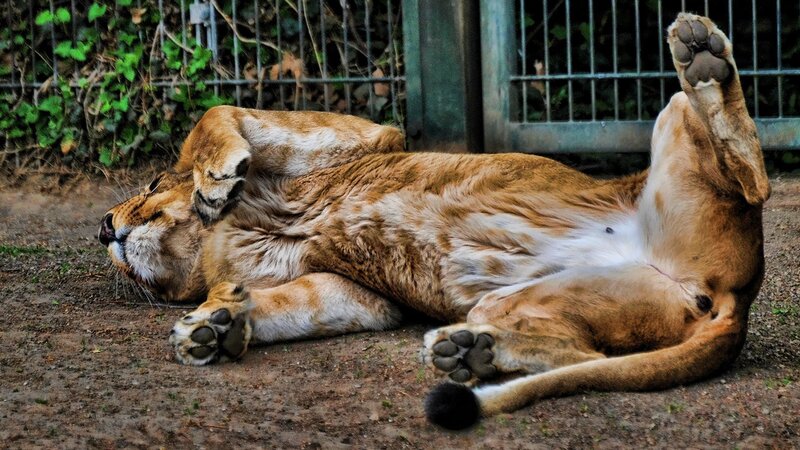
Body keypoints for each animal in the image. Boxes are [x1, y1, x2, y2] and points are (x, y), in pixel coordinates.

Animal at [99, 14, 769, 429]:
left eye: (150, 188)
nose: (104, 228)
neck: (211, 243)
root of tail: (737, 300)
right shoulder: (359, 295)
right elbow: (283, 305)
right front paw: (216, 328)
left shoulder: (371, 134)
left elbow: (213, 114)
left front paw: (214, 182)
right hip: (530, 299)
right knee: (581, 351)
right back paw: (472, 353)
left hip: (681, 124)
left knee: (752, 178)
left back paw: (703, 58)